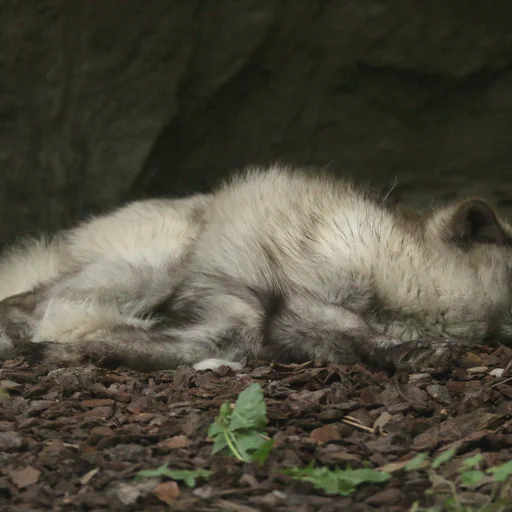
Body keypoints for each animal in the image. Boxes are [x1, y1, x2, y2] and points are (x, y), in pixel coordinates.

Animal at [1, 165, 512, 372]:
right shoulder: (295, 299)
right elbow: (356, 331)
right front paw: (409, 353)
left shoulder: (250, 325)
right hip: (151, 270)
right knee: (23, 305)